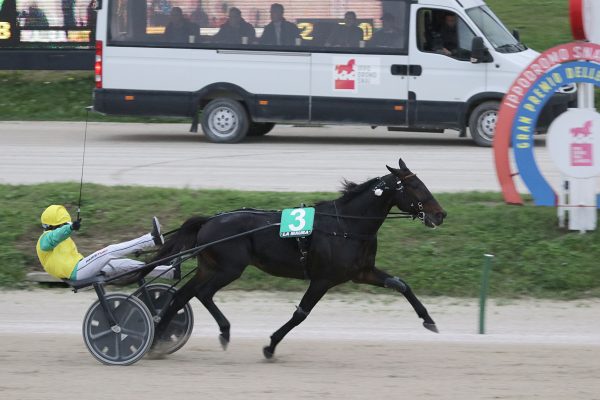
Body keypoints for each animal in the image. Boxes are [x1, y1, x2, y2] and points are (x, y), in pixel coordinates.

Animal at [152, 158, 448, 358]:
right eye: (415, 186)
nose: (440, 214)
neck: (346, 225)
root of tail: (209, 220)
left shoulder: (361, 272)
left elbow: (401, 284)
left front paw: (429, 320)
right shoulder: (323, 279)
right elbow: (301, 314)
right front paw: (271, 346)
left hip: (209, 267)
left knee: (182, 296)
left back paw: (158, 337)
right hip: (229, 269)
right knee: (203, 294)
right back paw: (222, 331)